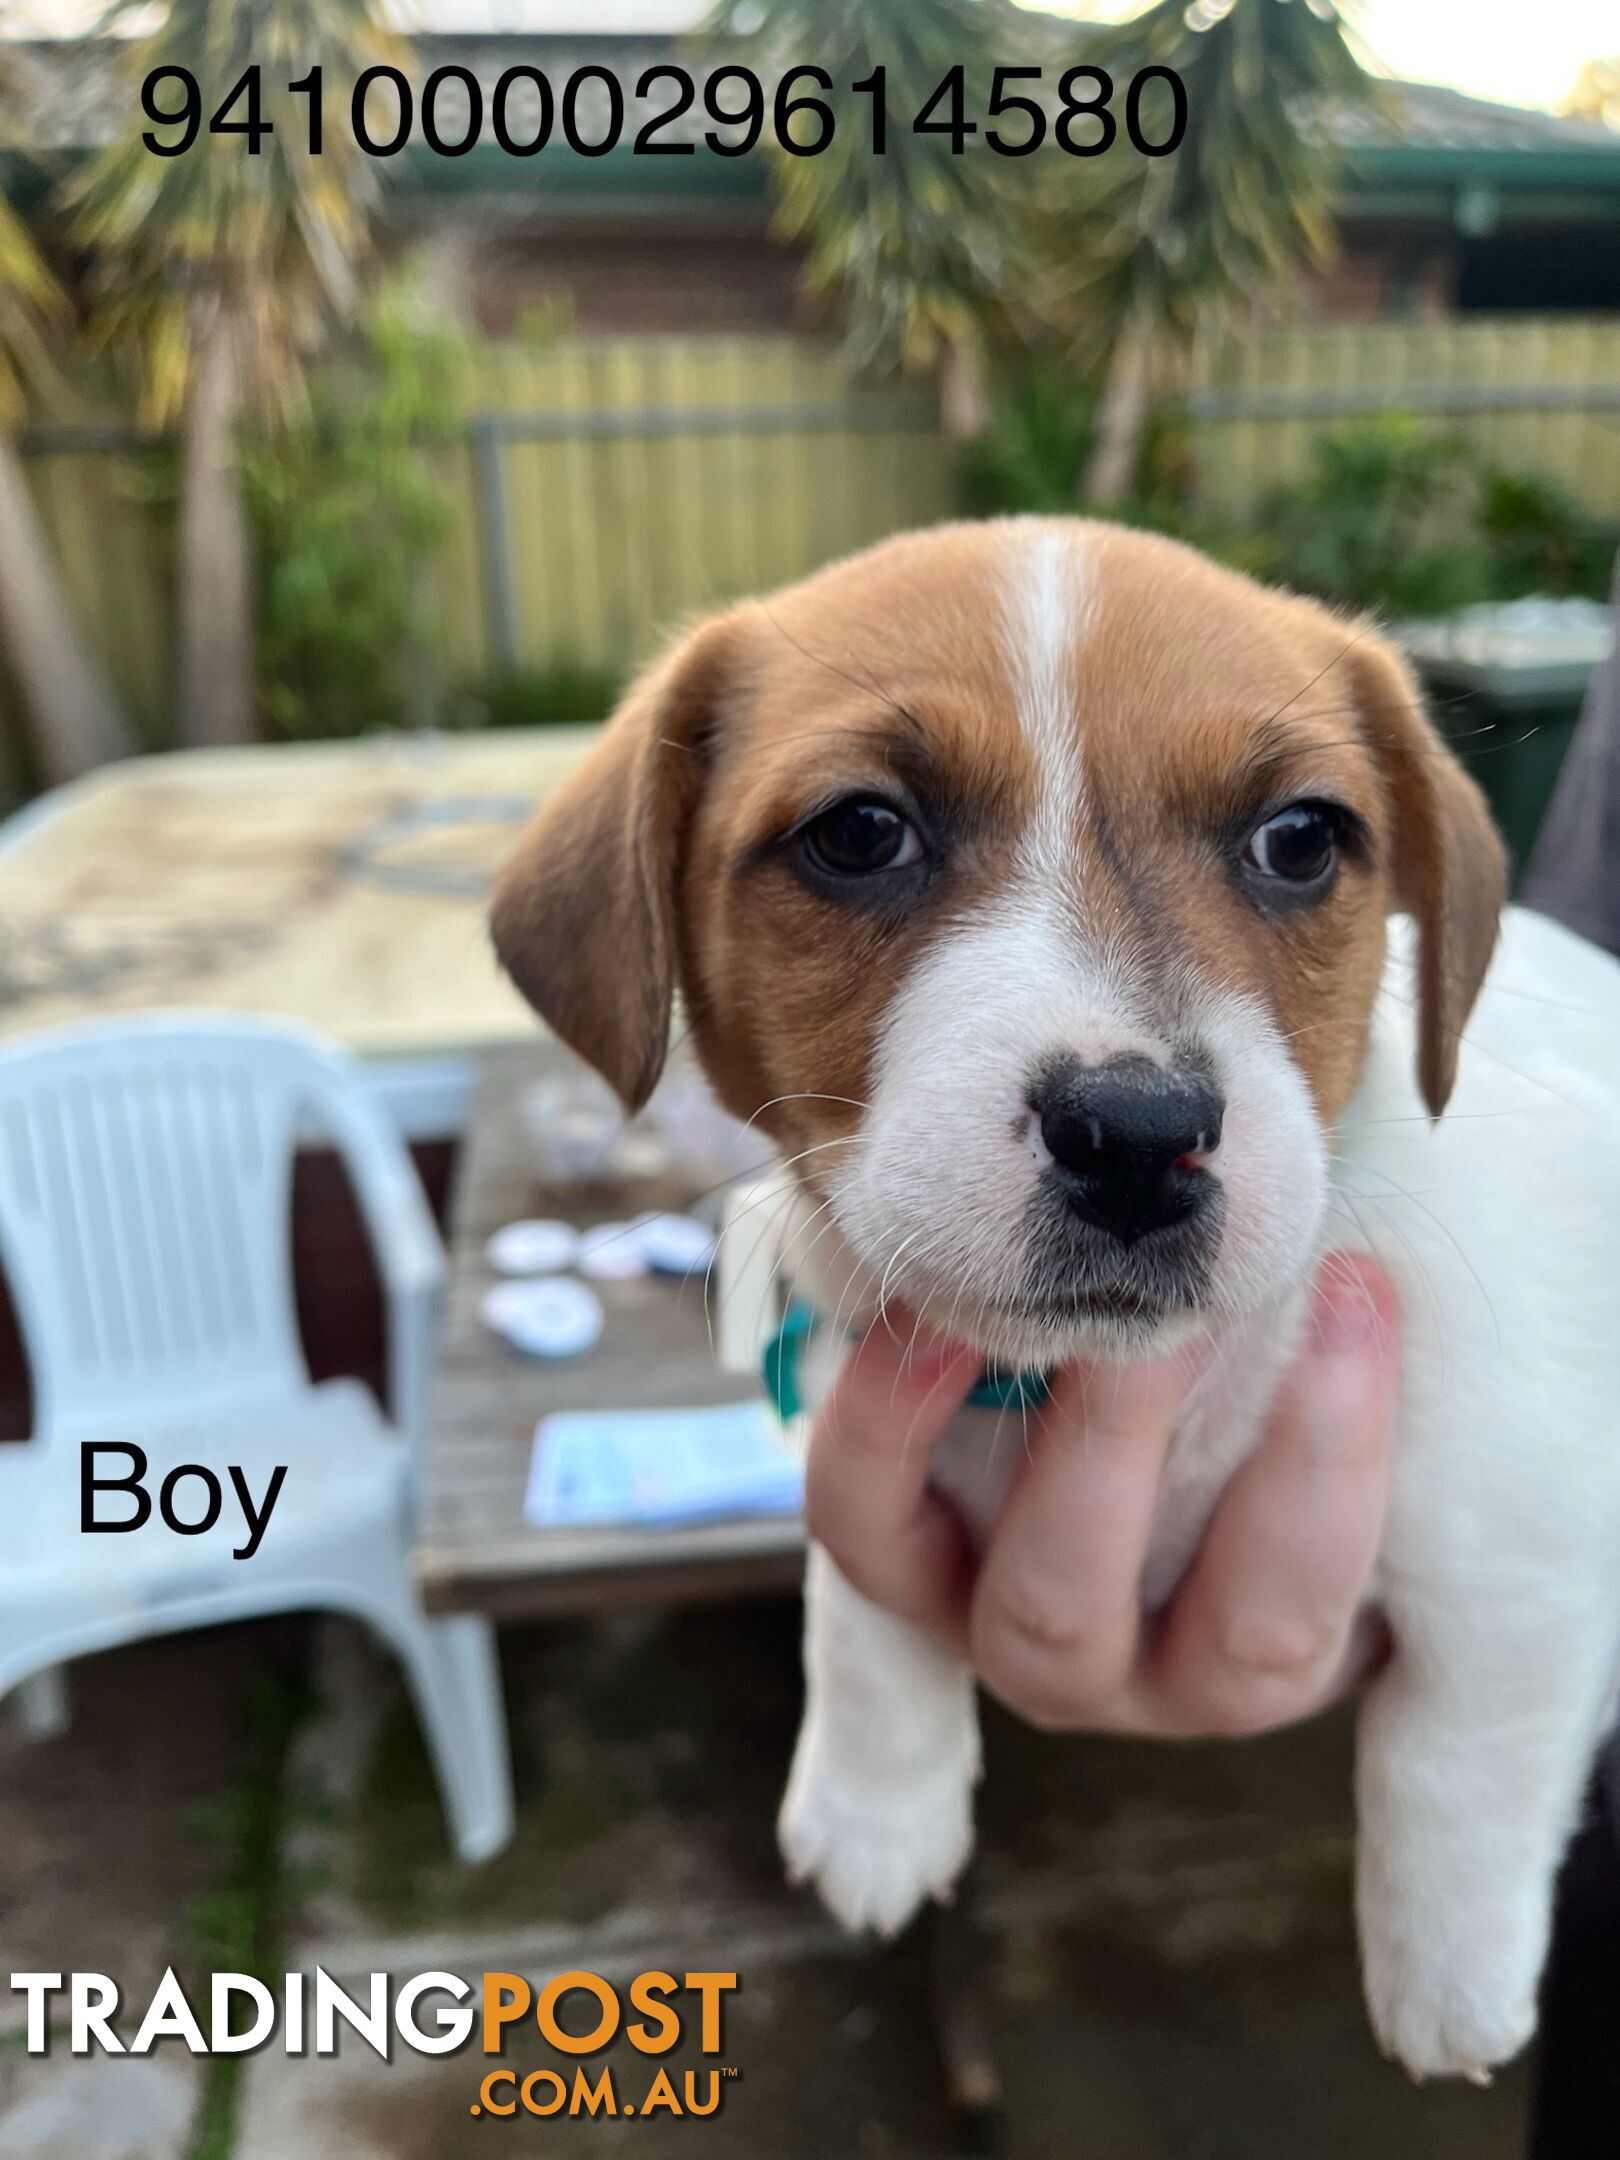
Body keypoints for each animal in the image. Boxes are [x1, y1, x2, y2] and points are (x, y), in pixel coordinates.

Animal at [492, 514, 1620, 2082]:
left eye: (1300, 840)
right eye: (861, 832)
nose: (1140, 1139)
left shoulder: (1528, 1553)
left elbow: (1460, 1753)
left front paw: (1448, 1976)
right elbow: (856, 1605)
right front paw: (874, 1798)